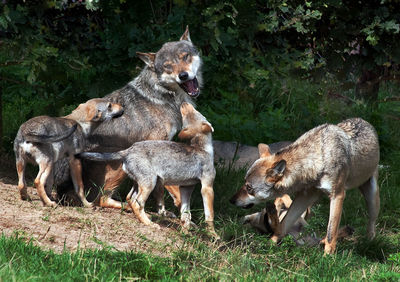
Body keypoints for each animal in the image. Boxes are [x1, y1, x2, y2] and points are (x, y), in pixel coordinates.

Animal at [55, 27, 202, 216]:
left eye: (185, 57)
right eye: (168, 67)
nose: (183, 76)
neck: (163, 95)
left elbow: (158, 190)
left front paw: (161, 211)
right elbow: (163, 188)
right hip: (120, 160)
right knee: (103, 199)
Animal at [230, 118, 380, 254]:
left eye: (249, 188)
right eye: (244, 182)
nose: (231, 200)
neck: (317, 159)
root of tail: (366, 122)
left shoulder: (337, 195)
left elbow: (331, 233)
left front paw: (327, 258)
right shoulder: (305, 196)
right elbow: (284, 224)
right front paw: (269, 243)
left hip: (372, 199)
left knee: (371, 224)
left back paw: (369, 242)